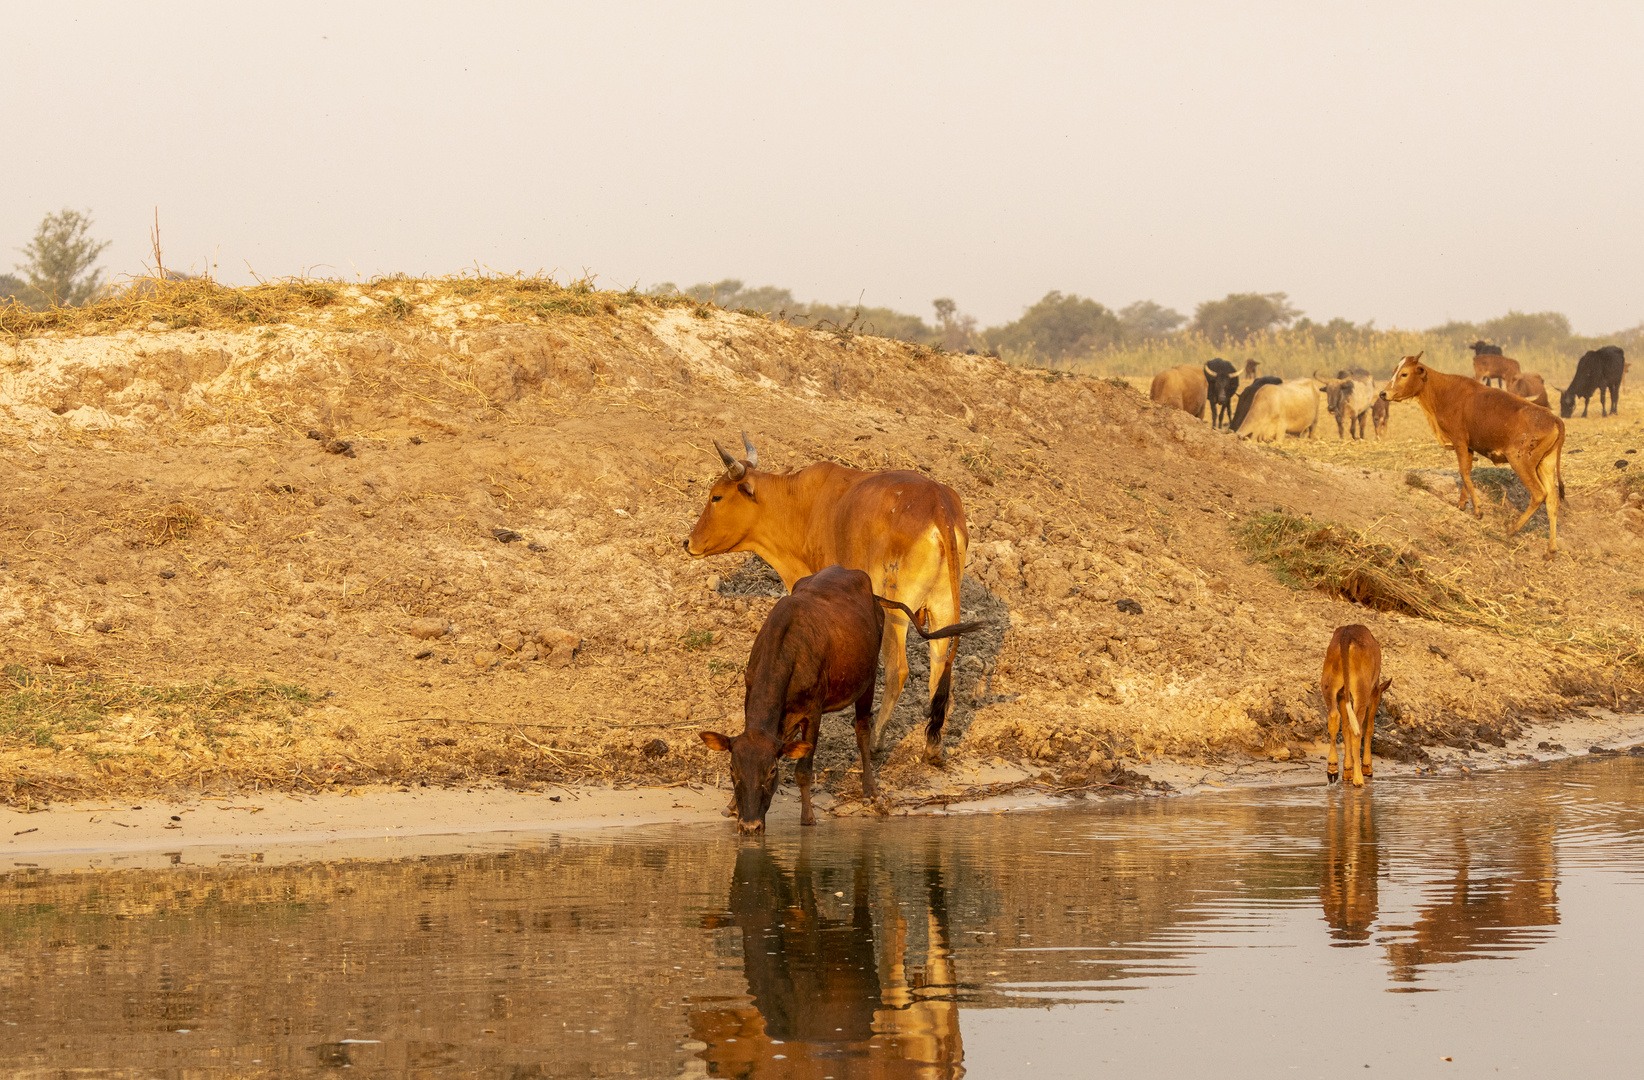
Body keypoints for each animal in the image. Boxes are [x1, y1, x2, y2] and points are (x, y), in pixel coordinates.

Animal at [683, 430, 966, 766]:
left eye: (716, 496)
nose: (688, 542)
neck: (801, 503)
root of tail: (939, 507)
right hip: (942, 608)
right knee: (940, 669)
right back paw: (932, 747)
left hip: (895, 609)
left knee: (898, 670)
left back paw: (876, 741)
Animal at [1374, 353, 1565, 555]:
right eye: (1394, 371)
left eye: (1404, 374)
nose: (1383, 393)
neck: (1443, 391)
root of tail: (1554, 418)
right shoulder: (1469, 447)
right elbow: (1466, 473)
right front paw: (1462, 504)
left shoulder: (1460, 441)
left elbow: (1464, 473)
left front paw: (1478, 509)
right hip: (1545, 465)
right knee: (1552, 500)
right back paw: (1551, 549)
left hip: (1521, 462)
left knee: (1539, 494)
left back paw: (1513, 528)